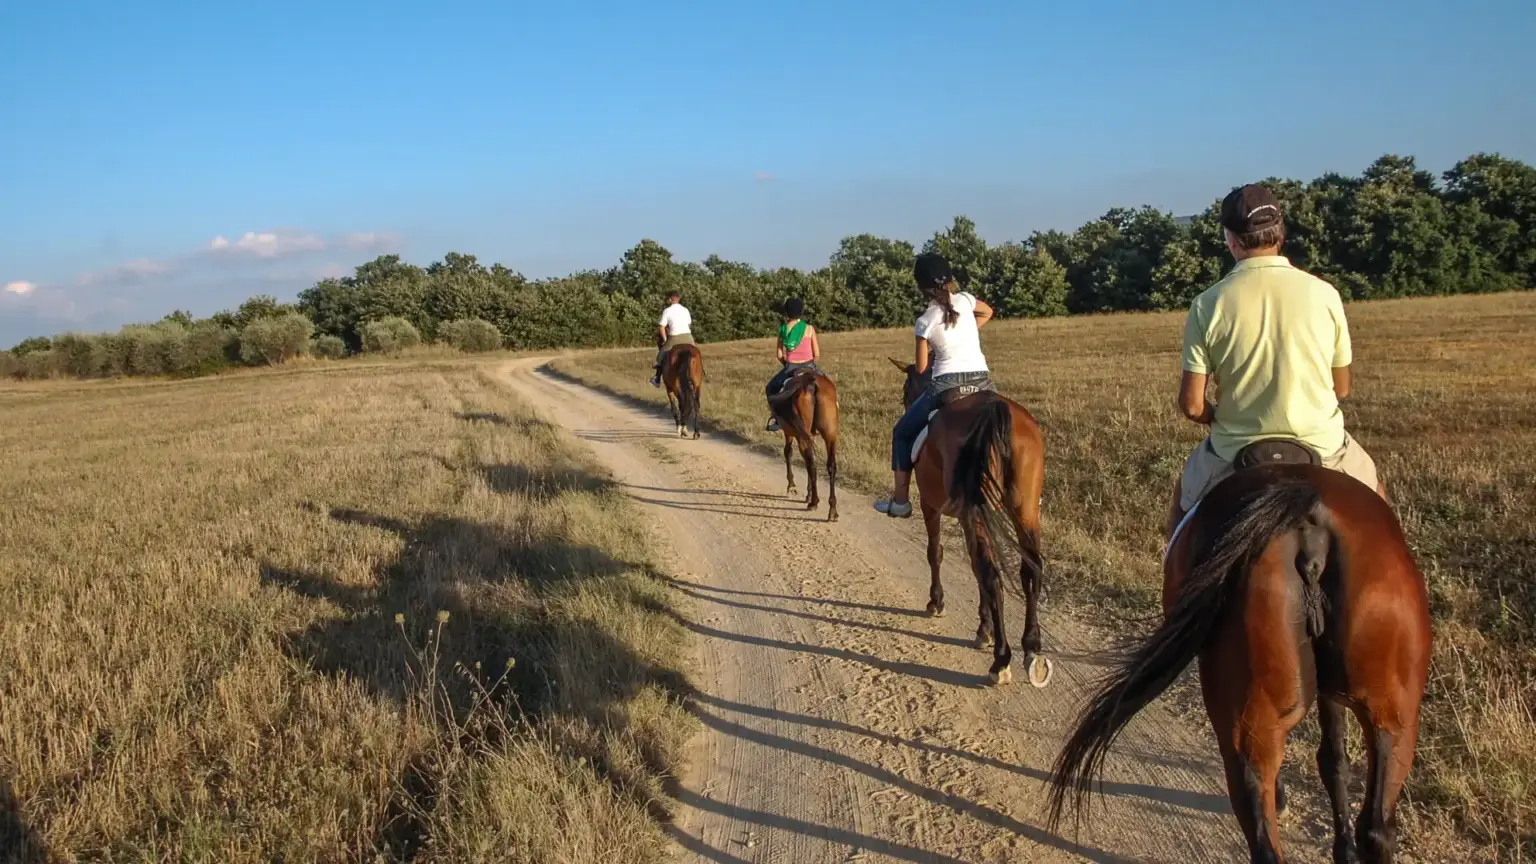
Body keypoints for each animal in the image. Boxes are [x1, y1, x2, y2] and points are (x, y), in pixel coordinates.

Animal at [767, 368, 840, 521]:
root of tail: (812, 384)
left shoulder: (789, 432)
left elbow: (788, 452)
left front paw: (792, 486)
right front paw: (808, 493)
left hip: (801, 436)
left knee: (810, 463)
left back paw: (814, 502)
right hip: (830, 434)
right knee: (830, 465)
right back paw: (832, 509)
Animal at [890, 358, 1051, 687]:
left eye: (905, 389)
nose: (906, 403)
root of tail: (994, 410)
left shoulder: (932, 506)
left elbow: (937, 553)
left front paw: (936, 603)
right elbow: (975, 569)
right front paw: (984, 628)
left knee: (992, 575)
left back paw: (1001, 661)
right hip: (1025, 510)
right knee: (1030, 570)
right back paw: (1031, 647)